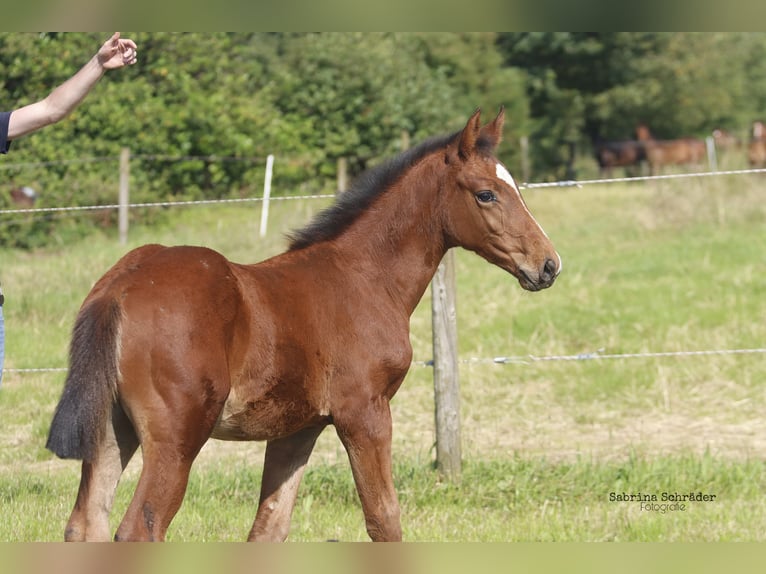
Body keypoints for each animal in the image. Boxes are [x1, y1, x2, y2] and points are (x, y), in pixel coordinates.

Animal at [46, 109, 564, 544]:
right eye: (486, 194)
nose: (548, 265)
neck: (364, 277)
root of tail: (122, 282)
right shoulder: (364, 412)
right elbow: (384, 519)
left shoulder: (296, 429)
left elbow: (269, 528)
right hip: (177, 435)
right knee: (140, 528)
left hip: (111, 428)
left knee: (84, 525)